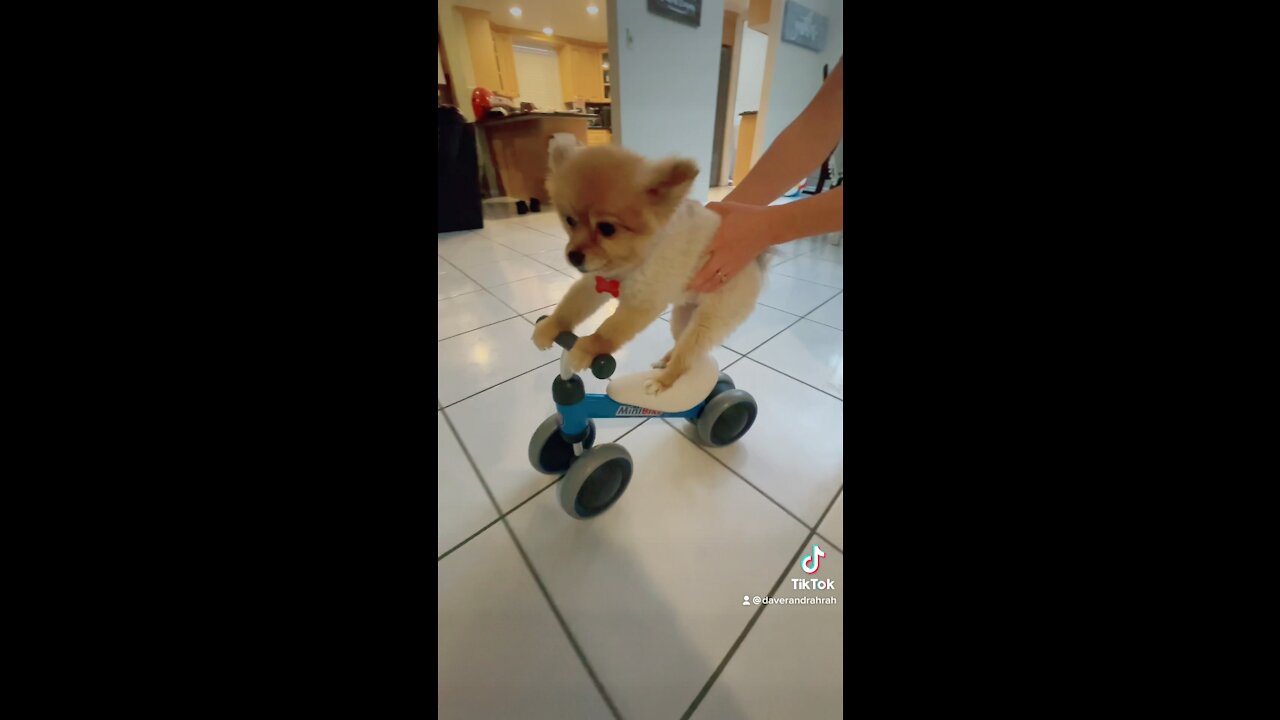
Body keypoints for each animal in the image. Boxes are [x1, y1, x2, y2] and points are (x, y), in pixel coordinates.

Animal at [532, 139, 762, 392]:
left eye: (607, 228)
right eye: (570, 221)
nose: (574, 256)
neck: (629, 263)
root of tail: (757, 262)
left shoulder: (641, 302)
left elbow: (610, 328)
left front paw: (587, 347)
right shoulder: (595, 282)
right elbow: (571, 305)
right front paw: (550, 325)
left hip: (707, 323)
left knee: (686, 357)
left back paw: (663, 380)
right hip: (681, 318)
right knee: (682, 348)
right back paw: (665, 361)